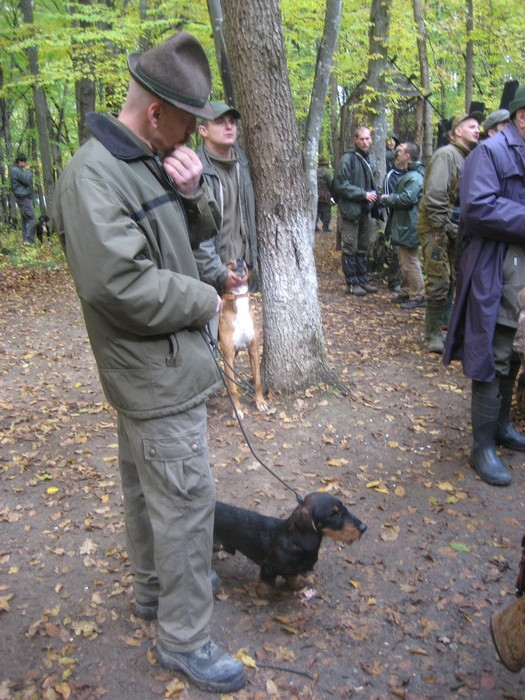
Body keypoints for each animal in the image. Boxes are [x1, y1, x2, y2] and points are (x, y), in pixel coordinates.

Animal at [218, 260, 268, 418]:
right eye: (229, 263)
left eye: (243, 262)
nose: (240, 260)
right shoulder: (227, 354)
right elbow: (233, 389)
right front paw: (238, 410)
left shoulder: (253, 349)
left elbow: (257, 381)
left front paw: (260, 402)